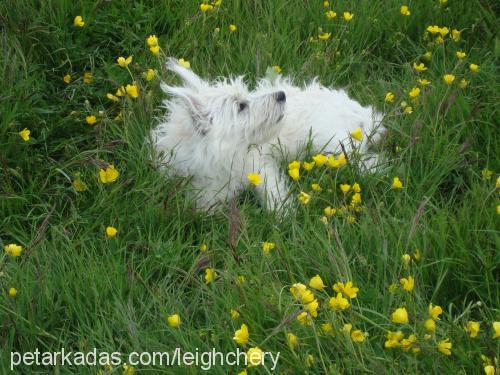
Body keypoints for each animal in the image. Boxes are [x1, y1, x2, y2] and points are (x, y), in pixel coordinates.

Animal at [150, 58, 384, 212]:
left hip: (332, 145)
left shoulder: (259, 166)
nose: (281, 95)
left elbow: (272, 192)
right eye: (242, 106)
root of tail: (361, 112)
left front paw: (284, 217)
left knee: (369, 162)